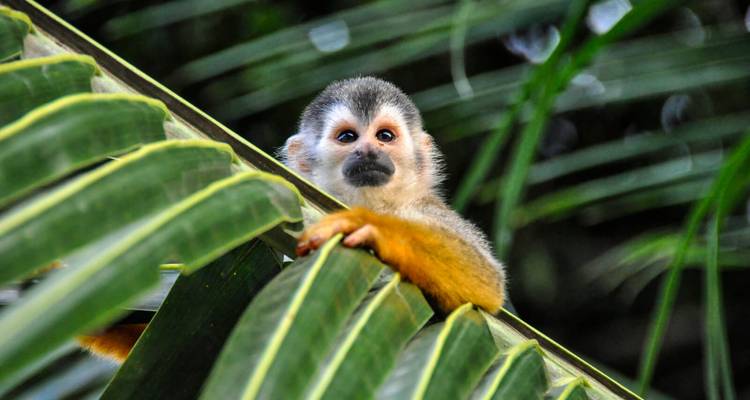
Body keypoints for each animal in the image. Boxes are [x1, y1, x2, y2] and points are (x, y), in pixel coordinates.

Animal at [283, 76, 506, 313]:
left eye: (385, 136)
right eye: (347, 137)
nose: (368, 151)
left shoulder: (427, 207)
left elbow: (488, 281)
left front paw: (369, 225)